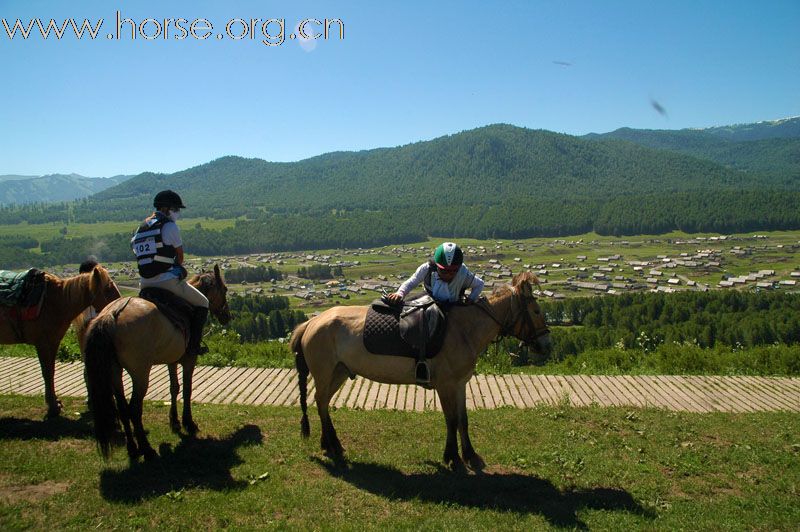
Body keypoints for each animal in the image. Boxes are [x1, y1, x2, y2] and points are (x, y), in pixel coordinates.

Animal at [0, 264, 122, 418]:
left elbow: (51, 371)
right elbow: (47, 372)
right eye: (107, 289)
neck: (57, 301)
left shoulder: (53, 342)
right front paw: (53, 406)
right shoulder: (43, 344)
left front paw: (55, 403)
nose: (121, 305)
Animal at [86, 266, 231, 462]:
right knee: (134, 408)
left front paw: (175, 421)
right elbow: (187, 389)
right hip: (140, 373)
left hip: (114, 371)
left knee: (123, 408)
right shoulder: (188, 359)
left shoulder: (172, 359)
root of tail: (113, 314)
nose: (227, 316)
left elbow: (174, 388)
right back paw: (146, 449)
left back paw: (133, 449)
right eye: (225, 289)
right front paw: (188, 422)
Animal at [290, 272, 552, 468]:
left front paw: (469, 454)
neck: (463, 329)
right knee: (321, 400)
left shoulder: (460, 384)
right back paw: (331, 444)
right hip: (325, 373)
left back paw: (331, 443)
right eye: (537, 311)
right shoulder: (446, 386)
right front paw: (452, 457)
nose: (545, 344)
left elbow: (463, 420)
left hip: (339, 372)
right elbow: (451, 420)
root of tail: (311, 322)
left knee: (322, 402)